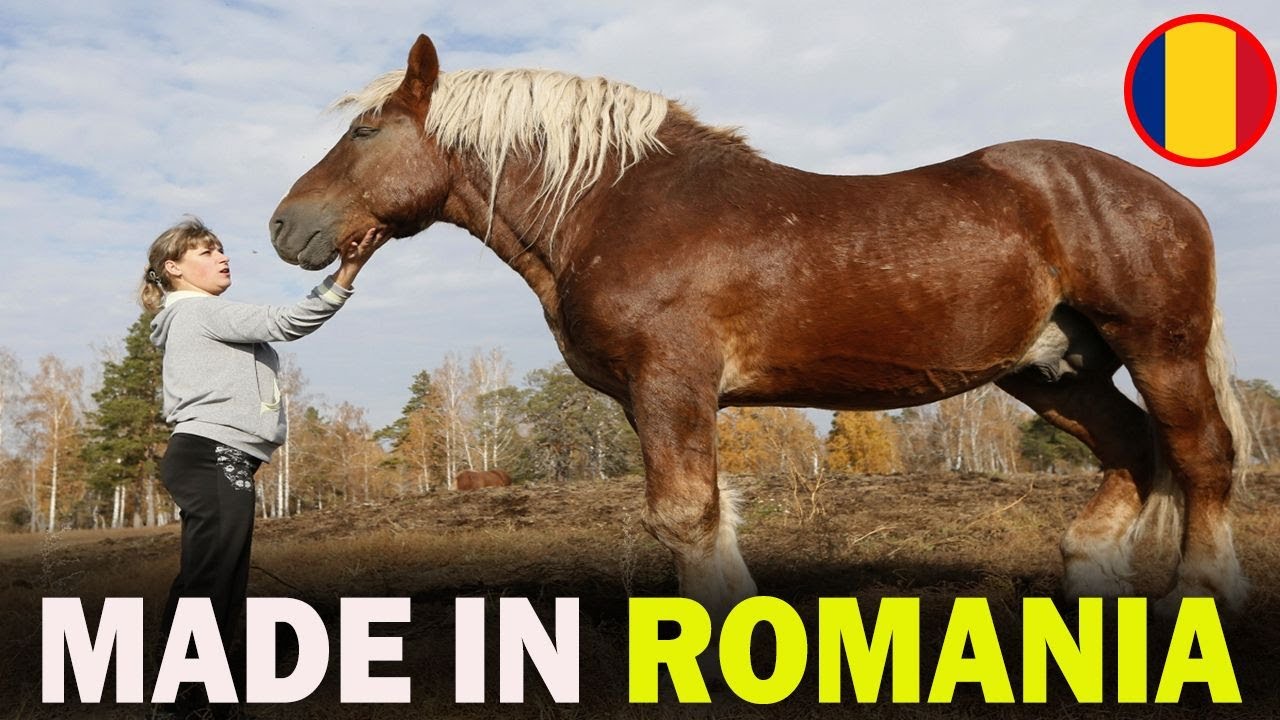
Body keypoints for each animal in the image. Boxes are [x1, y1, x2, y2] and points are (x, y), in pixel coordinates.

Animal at [271, 35, 1251, 619]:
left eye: (365, 130)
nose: (286, 226)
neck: (617, 206)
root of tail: (1166, 195)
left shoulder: (672, 382)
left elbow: (685, 517)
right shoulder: (657, 398)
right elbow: (710, 517)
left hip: (1156, 347)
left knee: (1200, 456)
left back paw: (1208, 595)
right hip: (1055, 369)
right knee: (1132, 449)